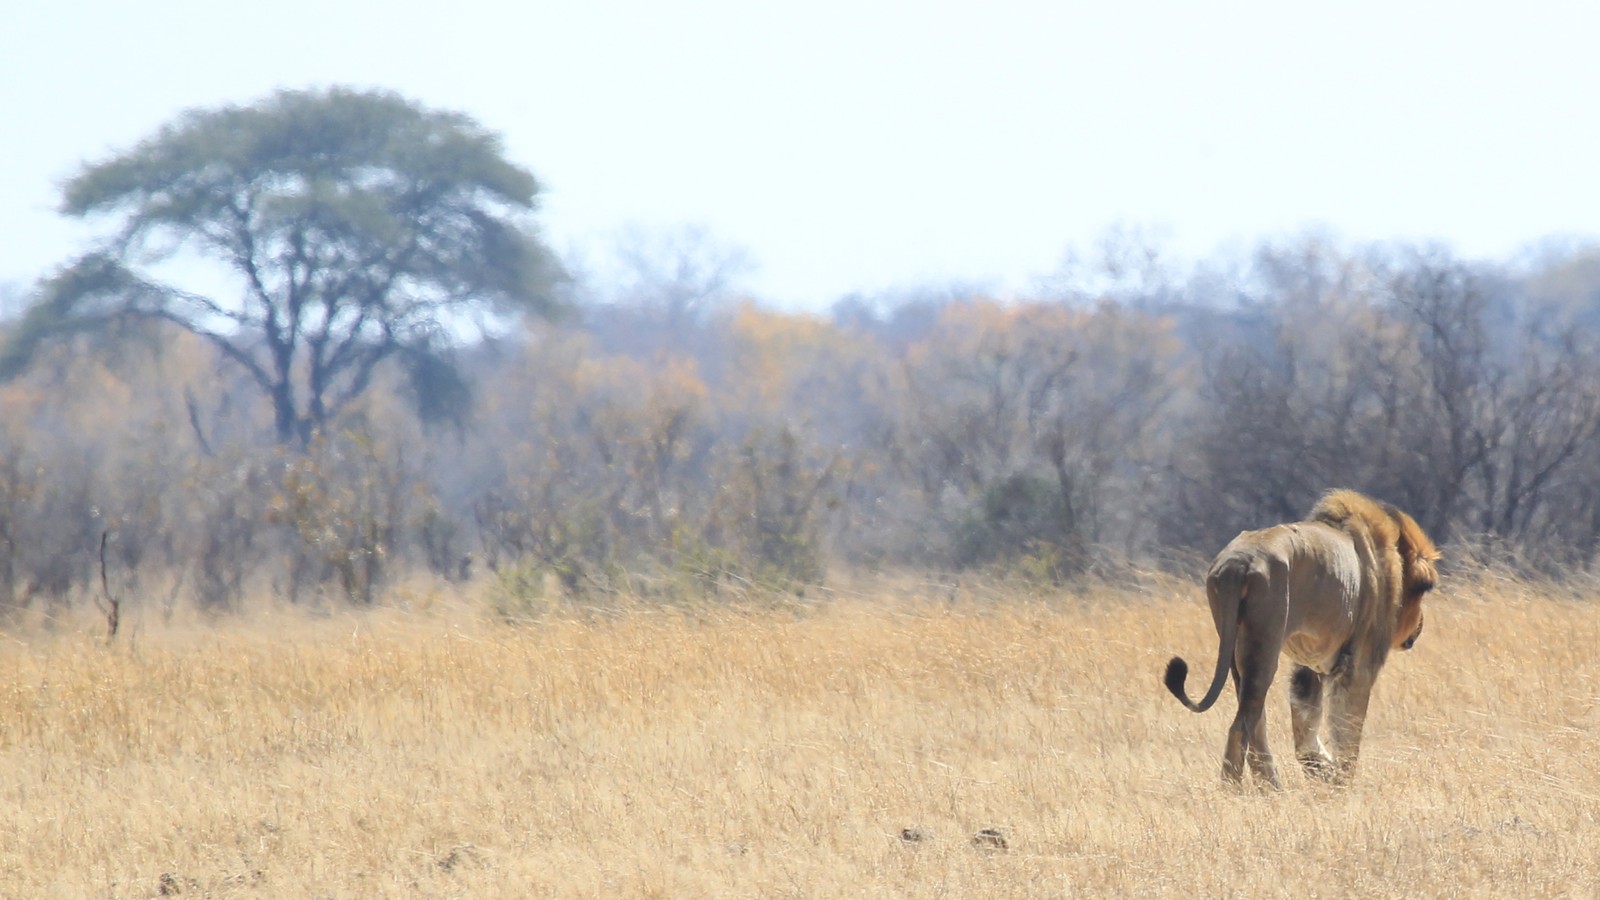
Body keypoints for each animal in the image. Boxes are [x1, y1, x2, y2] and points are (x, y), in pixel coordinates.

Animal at [1164, 489, 1440, 789]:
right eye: (1423, 590)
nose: (1420, 627)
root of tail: (1237, 564)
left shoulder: (1310, 666)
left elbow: (1305, 725)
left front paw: (1320, 768)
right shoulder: (1360, 665)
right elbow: (1348, 729)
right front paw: (1341, 781)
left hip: (1235, 649)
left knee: (1255, 722)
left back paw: (1271, 788)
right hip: (1264, 645)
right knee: (1240, 727)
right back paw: (1234, 791)